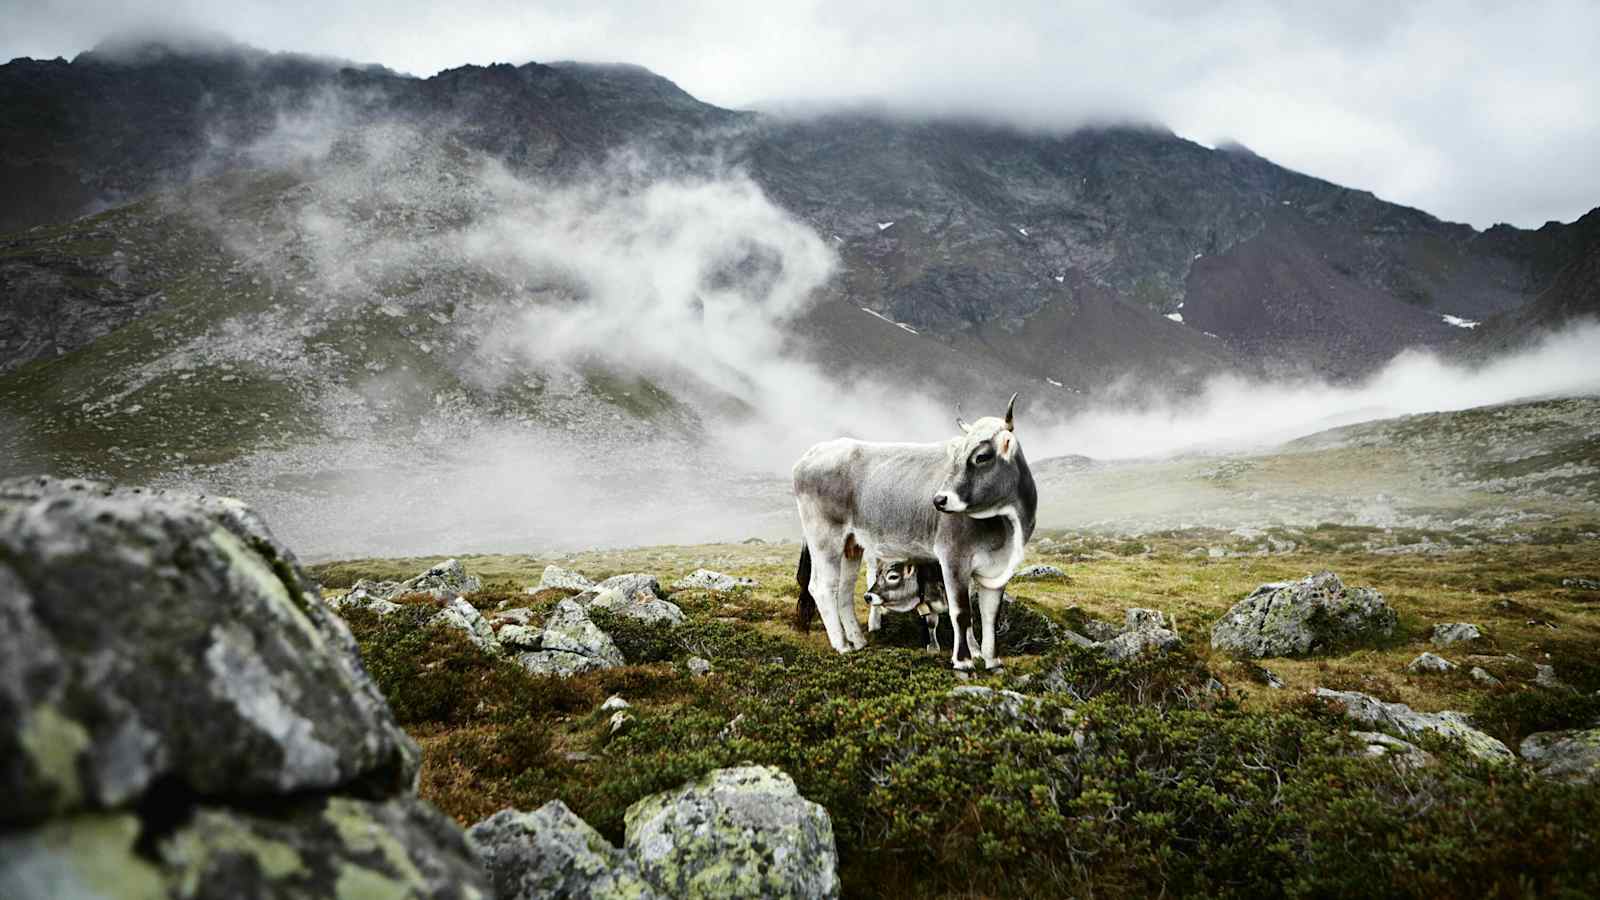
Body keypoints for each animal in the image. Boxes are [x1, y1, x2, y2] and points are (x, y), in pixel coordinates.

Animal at [787, 392, 1036, 666]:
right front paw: (965, 659)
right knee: (822, 588)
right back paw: (842, 645)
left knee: (844, 590)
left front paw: (987, 657)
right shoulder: (952, 557)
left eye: (982, 456)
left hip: (851, 544)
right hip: (825, 538)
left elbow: (988, 613)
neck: (1004, 526)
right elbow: (961, 612)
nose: (939, 500)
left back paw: (858, 640)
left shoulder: (996, 568)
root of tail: (815, 451)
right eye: (956, 457)